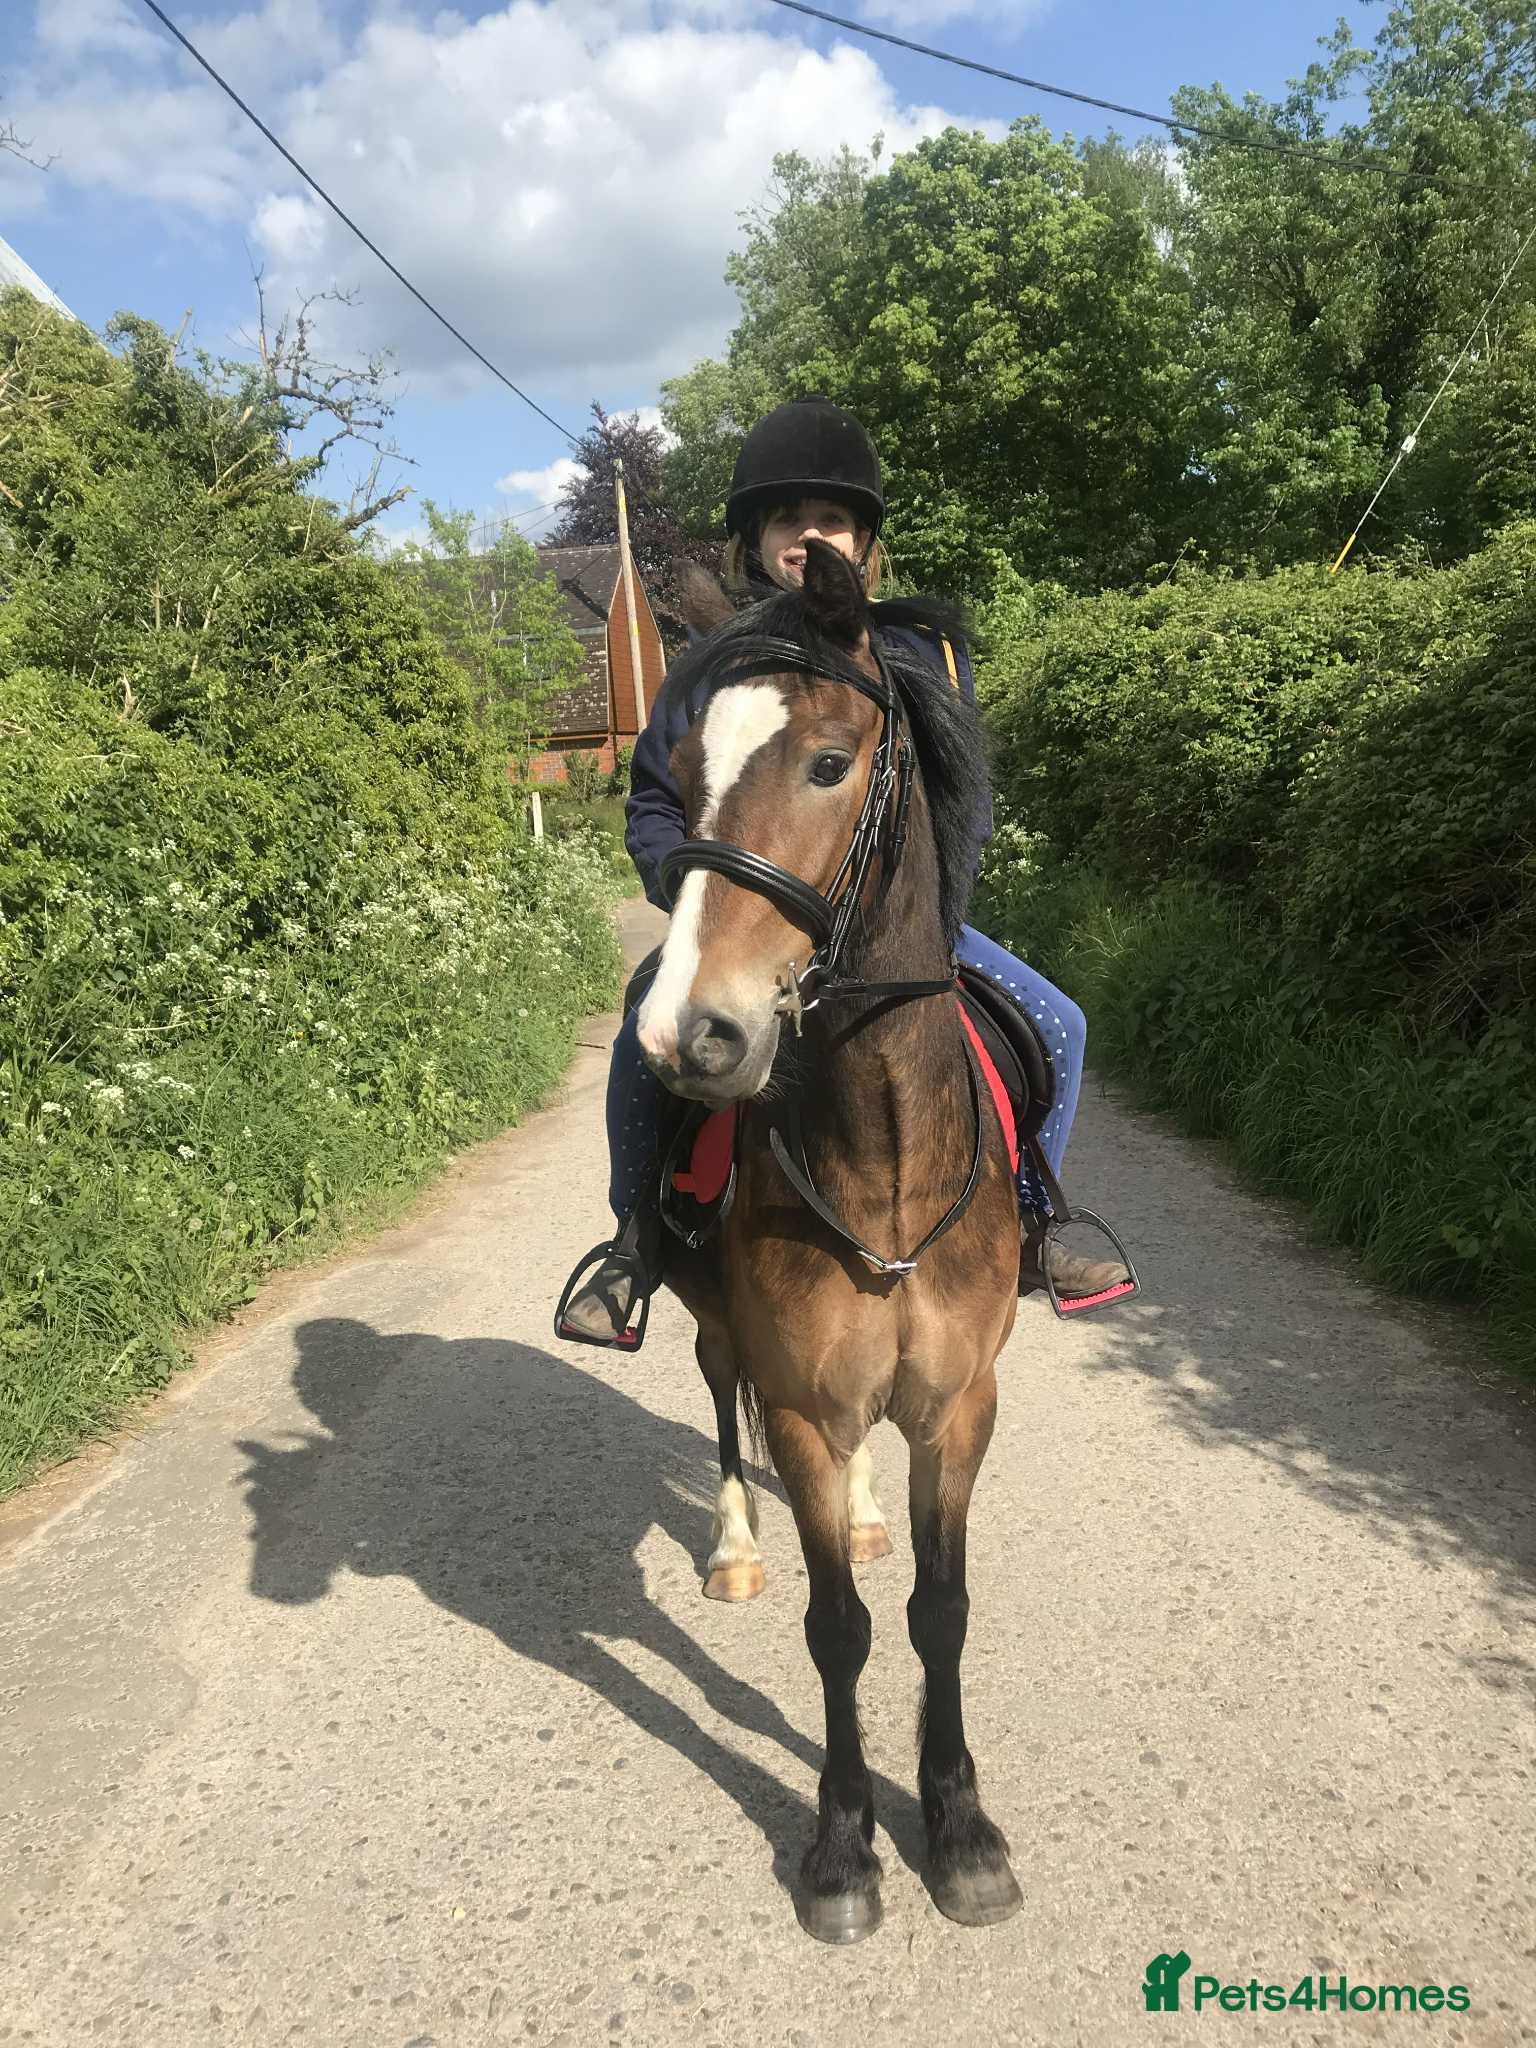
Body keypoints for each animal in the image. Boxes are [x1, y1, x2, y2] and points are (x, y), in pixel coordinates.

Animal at [630, 539, 1023, 1944]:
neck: (888, 1157)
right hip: (713, 1323)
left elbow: (938, 1611)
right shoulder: (800, 1404)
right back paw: (737, 1546)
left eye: (829, 761)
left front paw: (960, 1826)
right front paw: (847, 1844)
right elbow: (839, 1630)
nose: (690, 1035)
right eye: (684, 768)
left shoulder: (959, 1404)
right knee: (719, 1395)